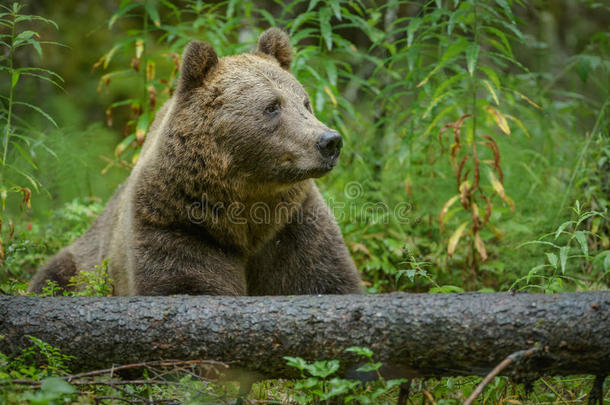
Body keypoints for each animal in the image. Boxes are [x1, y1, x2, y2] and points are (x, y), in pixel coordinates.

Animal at [28, 27, 360, 294]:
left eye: (305, 102)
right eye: (271, 106)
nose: (330, 141)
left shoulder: (291, 224)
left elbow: (323, 278)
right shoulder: (177, 221)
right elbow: (186, 283)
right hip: (81, 260)